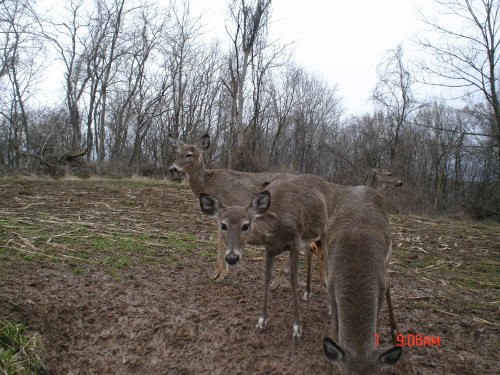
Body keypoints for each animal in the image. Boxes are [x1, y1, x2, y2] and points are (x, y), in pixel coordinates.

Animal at [199, 175, 332, 340]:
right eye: (223, 225)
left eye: (245, 225)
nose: (231, 258)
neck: (275, 228)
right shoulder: (270, 248)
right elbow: (267, 277)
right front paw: (262, 321)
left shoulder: (294, 241)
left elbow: (293, 280)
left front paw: (297, 328)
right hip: (307, 236)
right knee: (309, 252)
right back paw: (307, 293)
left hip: (324, 229)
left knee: (325, 257)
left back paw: (329, 307)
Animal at [324, 187, 402, 374]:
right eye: (344, 373)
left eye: (377, 373)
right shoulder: (331, 285)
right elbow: (334, 333)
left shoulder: (379, 288)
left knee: (389, 280)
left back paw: (395, 331)